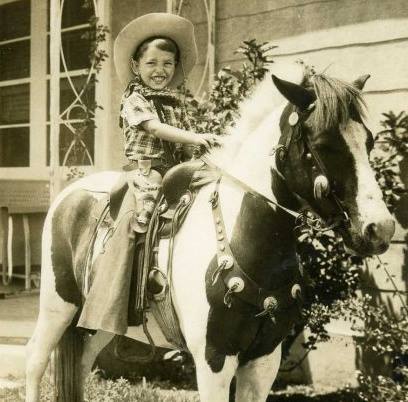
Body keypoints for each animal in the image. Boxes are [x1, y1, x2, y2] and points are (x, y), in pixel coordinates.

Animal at [25, 62, 396, 402]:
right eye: (323, 143)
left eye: (369, 141)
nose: (380, 228)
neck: (239, 237)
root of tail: (68, 195)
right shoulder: (213, 359)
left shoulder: (264, 359)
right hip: (57, 308)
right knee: (35, 361)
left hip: (97, 321)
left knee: (81, 366)